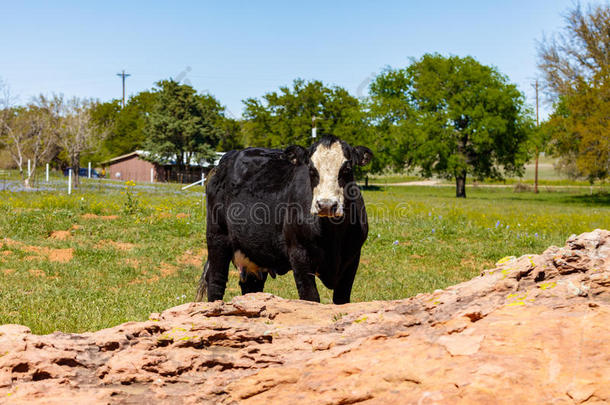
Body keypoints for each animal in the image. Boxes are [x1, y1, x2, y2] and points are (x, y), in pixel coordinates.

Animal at [195, 136, 370, 304]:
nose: (326, 205)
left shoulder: (352, 259)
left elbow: (342, 300)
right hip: (217, 237)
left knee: (251, 288)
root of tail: (226, 159)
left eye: (347, 169)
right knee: (216, 282)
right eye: (311, 169)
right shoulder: (299, 254)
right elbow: (311, 298)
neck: (332, 235)